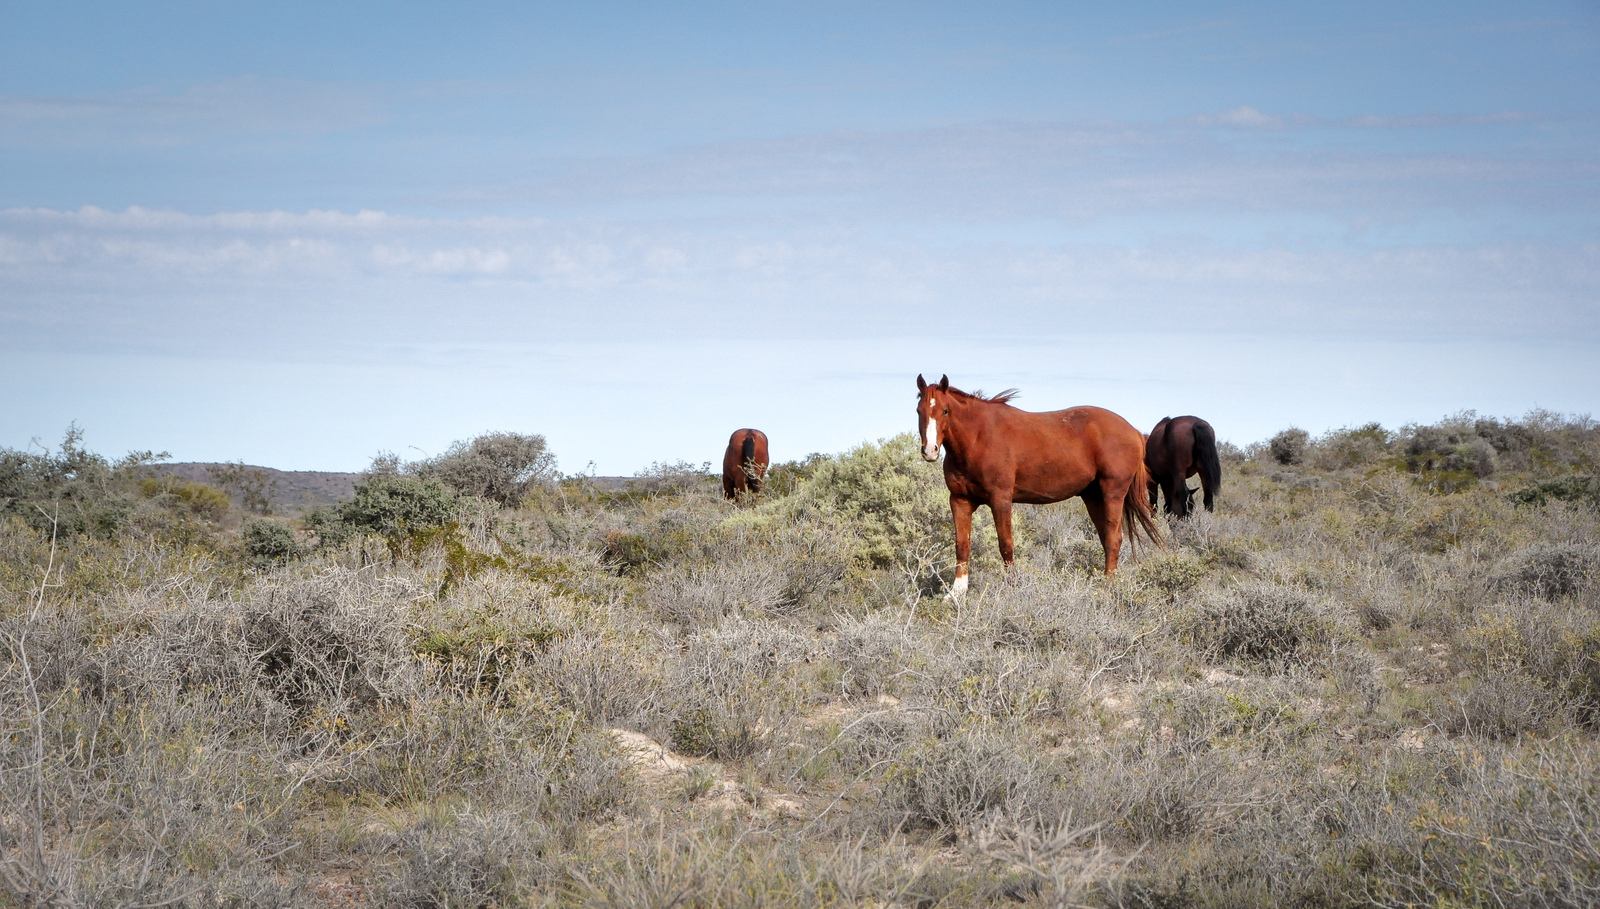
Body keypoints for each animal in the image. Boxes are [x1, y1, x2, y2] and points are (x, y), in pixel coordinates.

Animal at [916, 374, 1159, 595]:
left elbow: (1006, 544)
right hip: (1093, 497)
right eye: (919, 411)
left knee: (1113, 538)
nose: (930, 451)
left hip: (1112, 494)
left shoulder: (1000, 499)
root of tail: (1135, 432)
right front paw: (956, 593)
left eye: (945, 411)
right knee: (1106, 537)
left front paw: (1012, 588)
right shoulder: (960, 500)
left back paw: (1108, 586)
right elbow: (962, 544)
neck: (978, 438)